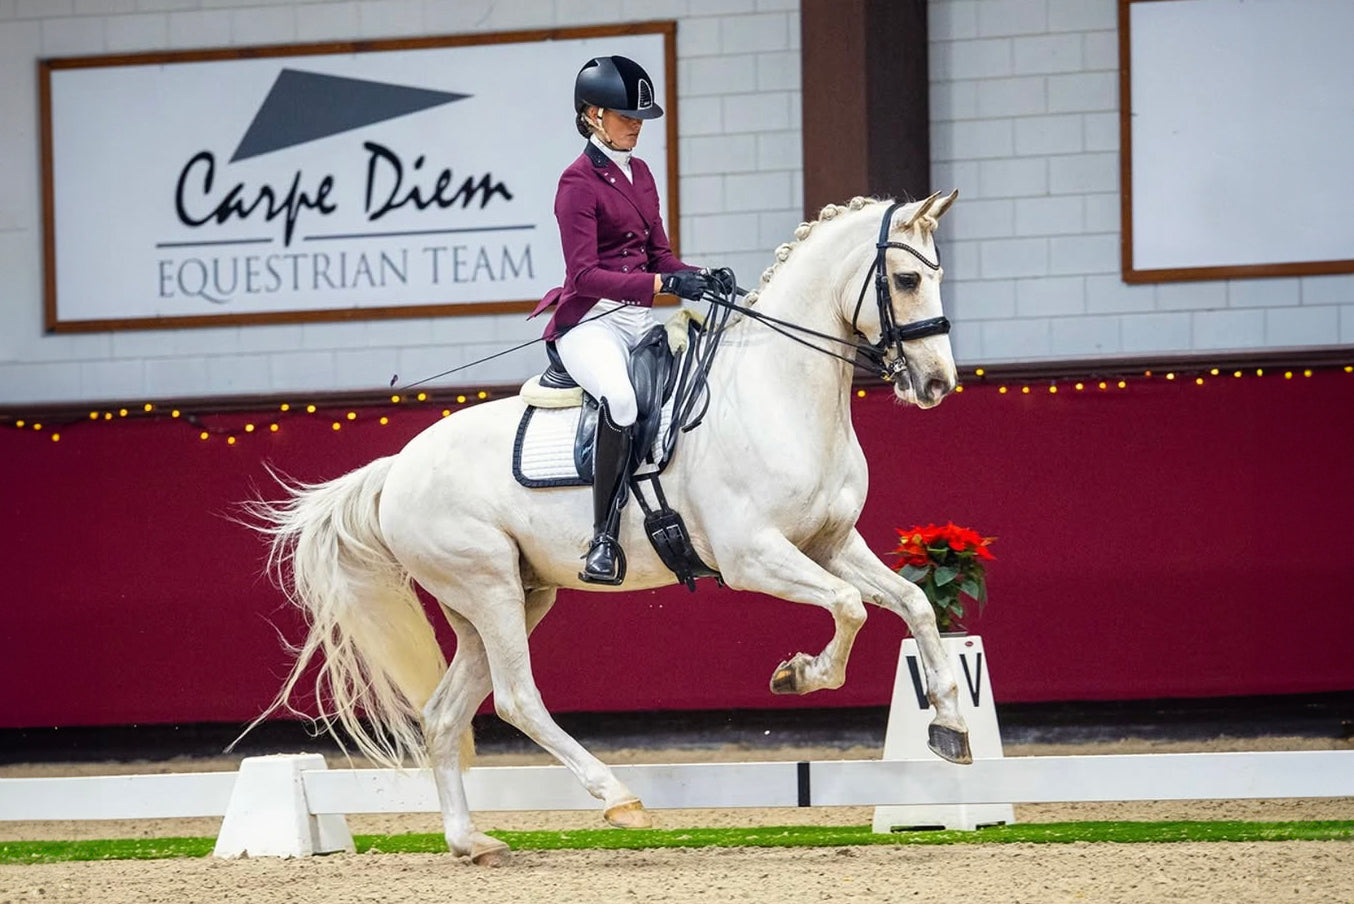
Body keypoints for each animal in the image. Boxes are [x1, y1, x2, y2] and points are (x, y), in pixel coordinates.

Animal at [248, 191, 969, 865]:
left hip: (507, 599)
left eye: (936, 274)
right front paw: (799, 675)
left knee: (443, 714)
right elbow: (850, 608)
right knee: (517, 699)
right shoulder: (754, 557)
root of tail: (396, 468)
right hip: (488, 589)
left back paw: (470, 841)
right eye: (907, 279)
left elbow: (912, 603)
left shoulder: (830, 543)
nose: (937, 383)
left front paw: (951, 726)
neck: (777, 393)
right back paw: (618, 798)